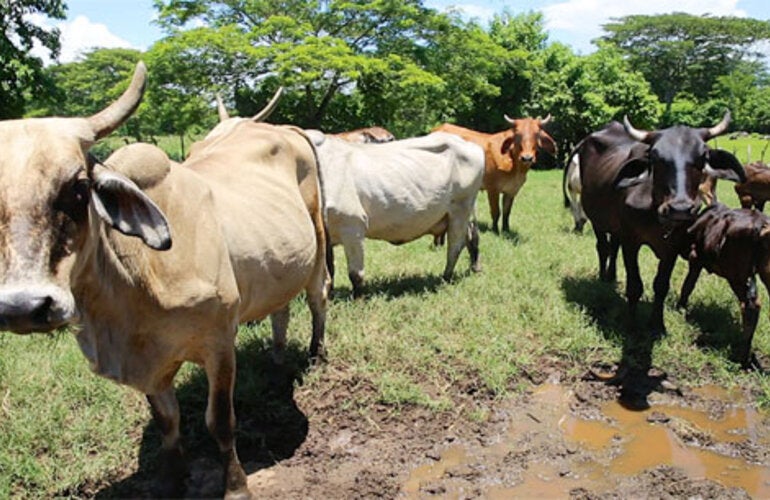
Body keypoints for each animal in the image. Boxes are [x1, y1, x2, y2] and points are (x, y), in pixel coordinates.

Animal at [0, 62, 329, 499]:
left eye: (79, 187)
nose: (24, 307)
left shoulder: (218, 343)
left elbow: (219, 422)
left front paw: (235, 486)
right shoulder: (150, 365)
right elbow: (167, 423)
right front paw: (172, 480)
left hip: (319, 240)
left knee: (318, 298)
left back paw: (316, 353)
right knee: (281, 307)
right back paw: (276, 357)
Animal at [305, 130, 485, 297]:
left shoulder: (352, 226)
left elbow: (356, 274)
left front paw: (358, 300)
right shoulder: (327, 235)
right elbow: (329, 270)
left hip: (461, 208)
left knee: (455, 245)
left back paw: (445, 278)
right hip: (458, 213)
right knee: (471, 237)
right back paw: (474, 267)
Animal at [578, 113, 745, 344]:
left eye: (702, 157)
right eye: (655, 158)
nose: (680, 208)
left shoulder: (671, 247)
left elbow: (661, 285)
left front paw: (657, 325)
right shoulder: (631, 242)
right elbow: (634, 286)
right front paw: (631, 325)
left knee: (613, 246)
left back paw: (611, 277)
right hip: (597, 219)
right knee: (603, 248)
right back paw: (603, 279)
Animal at [677, 203, 770, 369]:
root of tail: (762, 224)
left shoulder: (695, 258)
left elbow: (688, 285)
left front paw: (680, 307)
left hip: (735, 275)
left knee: (751, 306)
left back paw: (743, 358)